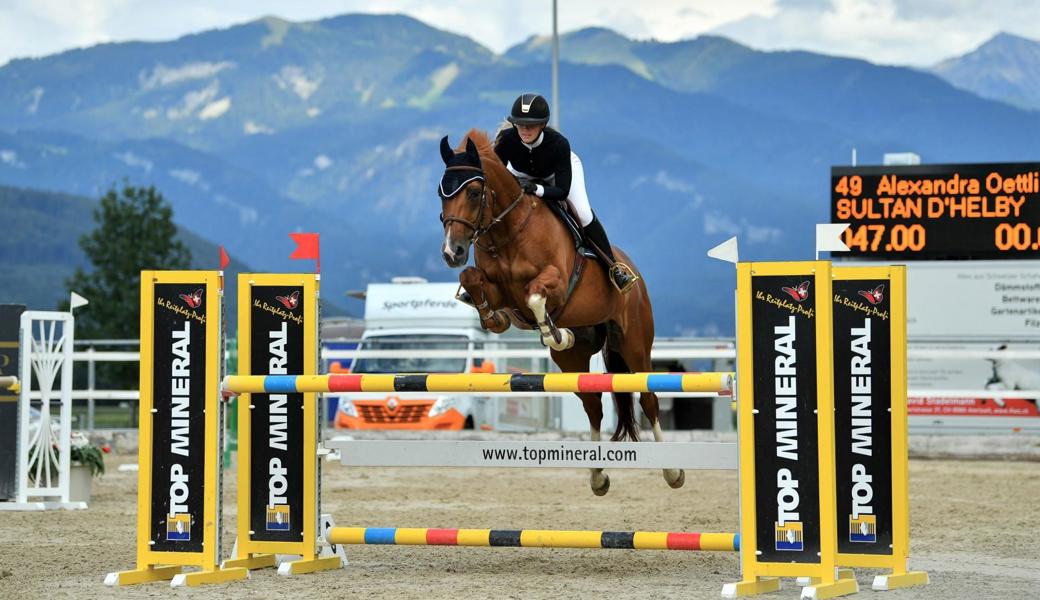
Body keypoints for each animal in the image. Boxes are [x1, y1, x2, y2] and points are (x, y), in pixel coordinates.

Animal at [436, 128, 686, 492]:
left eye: (472, 191)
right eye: (441, 192)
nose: (451, 251)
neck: (508, 230)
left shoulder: (554, 281)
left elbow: (535, 296)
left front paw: (553, 332)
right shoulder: (496, 288)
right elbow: (472, 278)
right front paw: (494, 318)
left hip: (635, 344)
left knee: (648, 398)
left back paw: (672, 472)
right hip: (574, 361)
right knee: (593, 406)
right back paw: (597, 476)